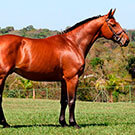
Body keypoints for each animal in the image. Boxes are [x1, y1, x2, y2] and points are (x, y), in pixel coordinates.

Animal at [0, 8, 129, 128]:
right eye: (113, 24)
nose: (126, 40)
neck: (73, 43)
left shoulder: (63, 80)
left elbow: (64, 101)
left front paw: (63, 122)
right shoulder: (72, 78)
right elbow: (72, 100)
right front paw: (74, 123)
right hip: (2, 77)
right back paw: (5, 123)